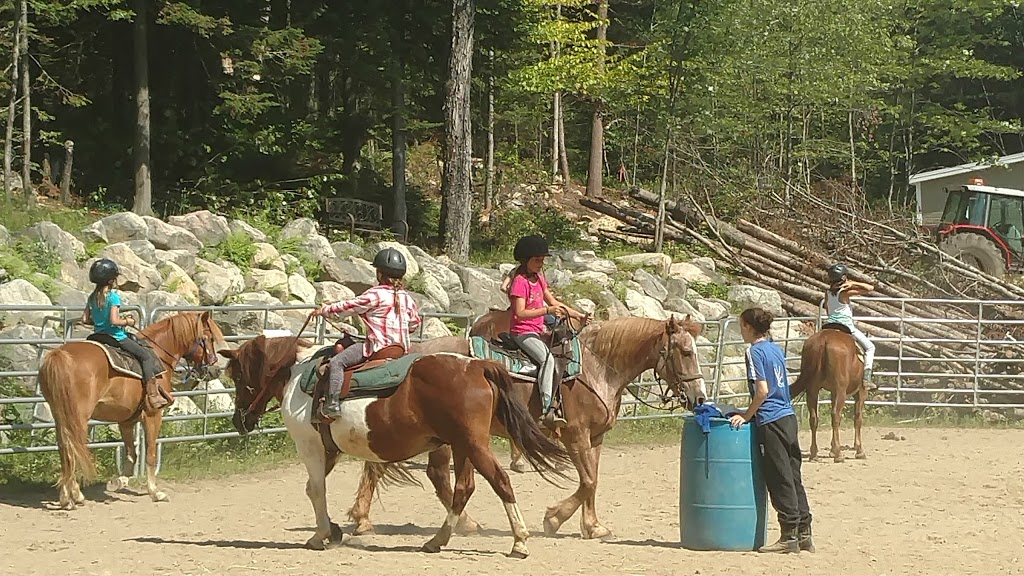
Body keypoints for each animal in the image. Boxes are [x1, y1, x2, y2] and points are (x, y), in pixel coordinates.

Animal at [39, 309, 226, 506]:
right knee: (72, 449)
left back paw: (66, 497)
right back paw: (74, 495)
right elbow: (150, 454)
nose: (215, 370)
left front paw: (119, 481)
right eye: (209, 338)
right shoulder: (153, 414)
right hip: (78, 417)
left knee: (65, 450)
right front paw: (155, 492)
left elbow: (132, 454)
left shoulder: (126, 420)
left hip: (61, 416)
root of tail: (60, 355)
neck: (160, 353)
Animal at [219, 332, 573, 557]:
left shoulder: (310, 445)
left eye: (237, 377)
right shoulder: (328, 449)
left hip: (472, 444)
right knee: (463, 488)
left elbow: (316, 490)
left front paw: (320, 535)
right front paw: (334, 530)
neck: (299, 375)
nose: (239, 421)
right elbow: (312, 488)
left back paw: (519, 542)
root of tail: (477, 365)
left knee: (499, 482)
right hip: (462, 446)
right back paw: (437, 540)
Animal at [348, 311, 708, 541]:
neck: (596, 369)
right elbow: (587, 480)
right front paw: (554, 519)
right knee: (407, 469)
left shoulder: (596, 438)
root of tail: (415, 352)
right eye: (685, 351)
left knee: (414, 470)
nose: (700, 396)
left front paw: (592, 526)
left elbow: (593, 481)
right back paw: (367, 520)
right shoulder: (574, 435)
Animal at [786, 323, 868, 461]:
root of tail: (823, 340)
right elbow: (858, 418)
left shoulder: (833, 392)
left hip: (813, 389)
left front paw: (832, 450)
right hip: (840, 390)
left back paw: (814, 454)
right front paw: (859, 450)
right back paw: (839, 455)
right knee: (836, 416)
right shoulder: (860, 392)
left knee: (814, 418)